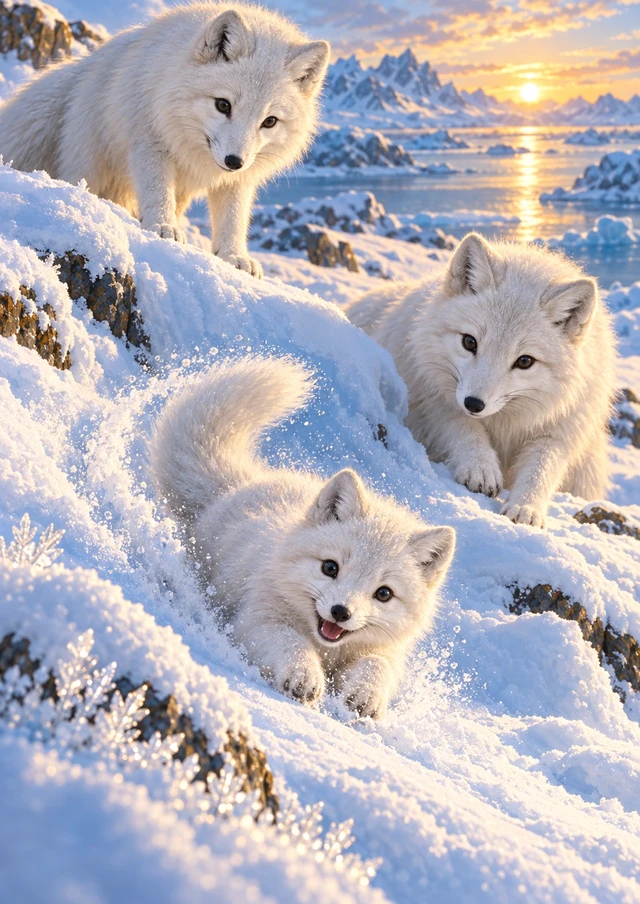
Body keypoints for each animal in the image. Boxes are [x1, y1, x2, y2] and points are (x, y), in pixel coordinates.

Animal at [0, 3, 330, 278]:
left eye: (269, 121)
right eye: (223, 105)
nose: (234, 161)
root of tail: (82, 68)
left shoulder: (238, 179)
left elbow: (234, 218)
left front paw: (234, 257)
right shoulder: (148, 140)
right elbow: (157, 191)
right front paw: (162, 227)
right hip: (90, 168)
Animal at [150, 356, 455, 719]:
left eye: (384, 593)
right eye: (330, 568)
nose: (341, 612)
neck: (327, 651)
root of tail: (239, 485)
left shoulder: (387, 651)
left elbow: (376, 667)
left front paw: (364, 697)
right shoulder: (257, 622)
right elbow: (292, 644)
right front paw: (303, 677)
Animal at [346, 233, 617, 528]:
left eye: (525, 361)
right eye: (469, 342)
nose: (474, 404)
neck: (503, 423)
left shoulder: (561, 427)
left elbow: (541, 468)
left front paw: (526, 508)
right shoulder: (433, 396)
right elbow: (462, 428)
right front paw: (481, 468)